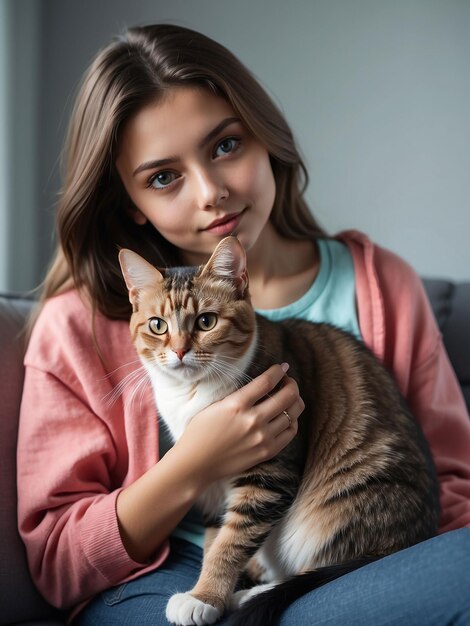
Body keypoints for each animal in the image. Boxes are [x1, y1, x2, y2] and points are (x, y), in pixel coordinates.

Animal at [118, 235, 440, 624]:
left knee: (318, 569)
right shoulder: (206, 479)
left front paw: (205, 597)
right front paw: (211, 592)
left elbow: (230, 541)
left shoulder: (270, 471)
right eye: (157, 325)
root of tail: (410, 538)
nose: (180, 351)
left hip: (338, 513)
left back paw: (251, 594)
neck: (193, 395)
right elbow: (215, 537)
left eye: (207, 321)